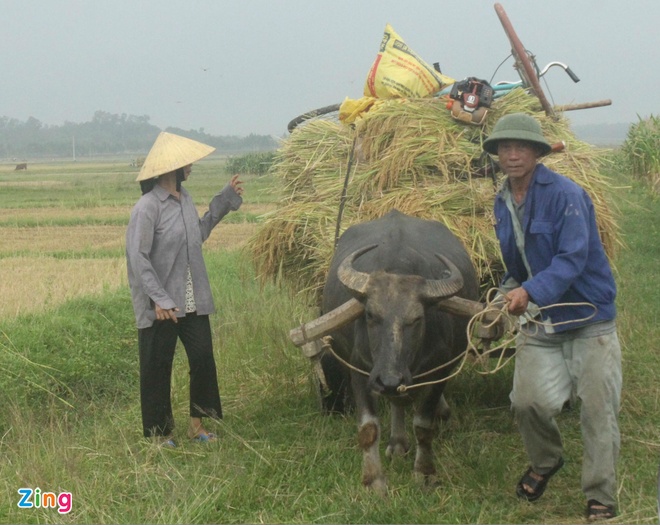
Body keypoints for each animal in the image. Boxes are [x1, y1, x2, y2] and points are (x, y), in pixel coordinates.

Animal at [318, 208, 476, 492]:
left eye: (416, 319)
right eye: (370, 315)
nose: (389, 379)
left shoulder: (440, 370)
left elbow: (423, 425)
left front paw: (424, 473)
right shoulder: (361, 370)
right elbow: (368, 428)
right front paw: (373, 480)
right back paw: (397, 443)